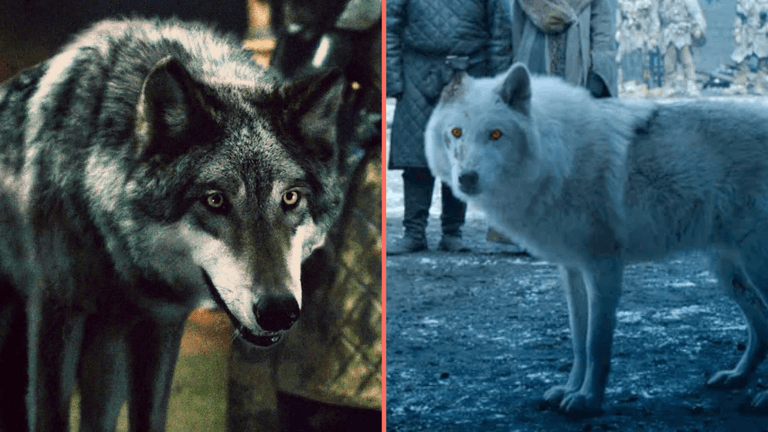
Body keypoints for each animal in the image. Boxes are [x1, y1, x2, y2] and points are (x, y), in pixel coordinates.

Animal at [0, 18, 350, 430]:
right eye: (215, 200)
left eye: (290, 198)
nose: (279, 311)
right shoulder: (55, 313)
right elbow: (49, 415)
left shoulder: (162, 324)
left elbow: (151, 416)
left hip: (107, 347)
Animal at [425, 62, 768, 417]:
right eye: (456, 133)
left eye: (495, 134)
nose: (466, 178)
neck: (557, 157)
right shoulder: (573, 270)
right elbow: (579, 340)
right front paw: (569, 390)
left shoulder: (603, 267)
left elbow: (596, 343)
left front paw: (588, 400)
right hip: (729, 273)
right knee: (761, 328)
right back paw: (737, 377)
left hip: (754, 267)